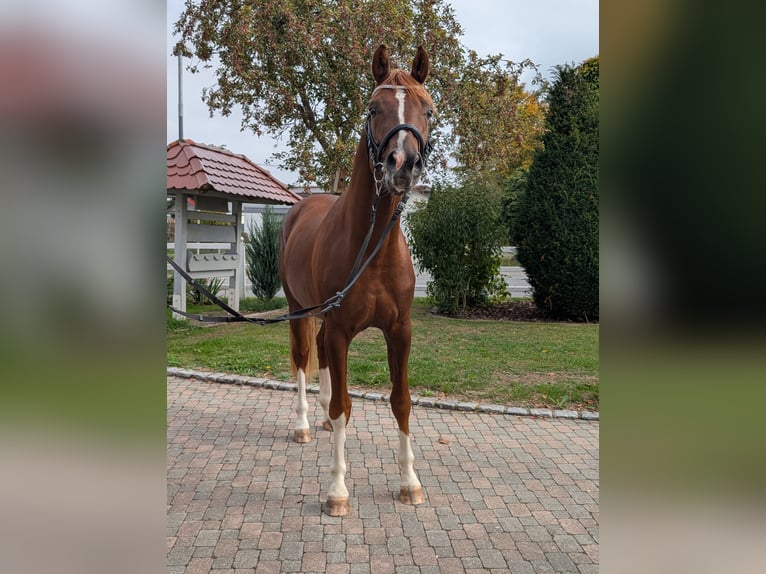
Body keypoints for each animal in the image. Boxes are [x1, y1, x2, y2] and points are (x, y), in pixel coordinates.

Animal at [278, 44, 434, 516]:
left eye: (428, 109)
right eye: (372, 108)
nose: (402, 164)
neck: (372, 250)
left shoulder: (399, 331)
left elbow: (401, 401)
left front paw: (409, 482)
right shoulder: (342, 330)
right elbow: (344, 404)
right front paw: (337, 491)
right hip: (298, 310)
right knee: (303, 359)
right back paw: (304, 425)